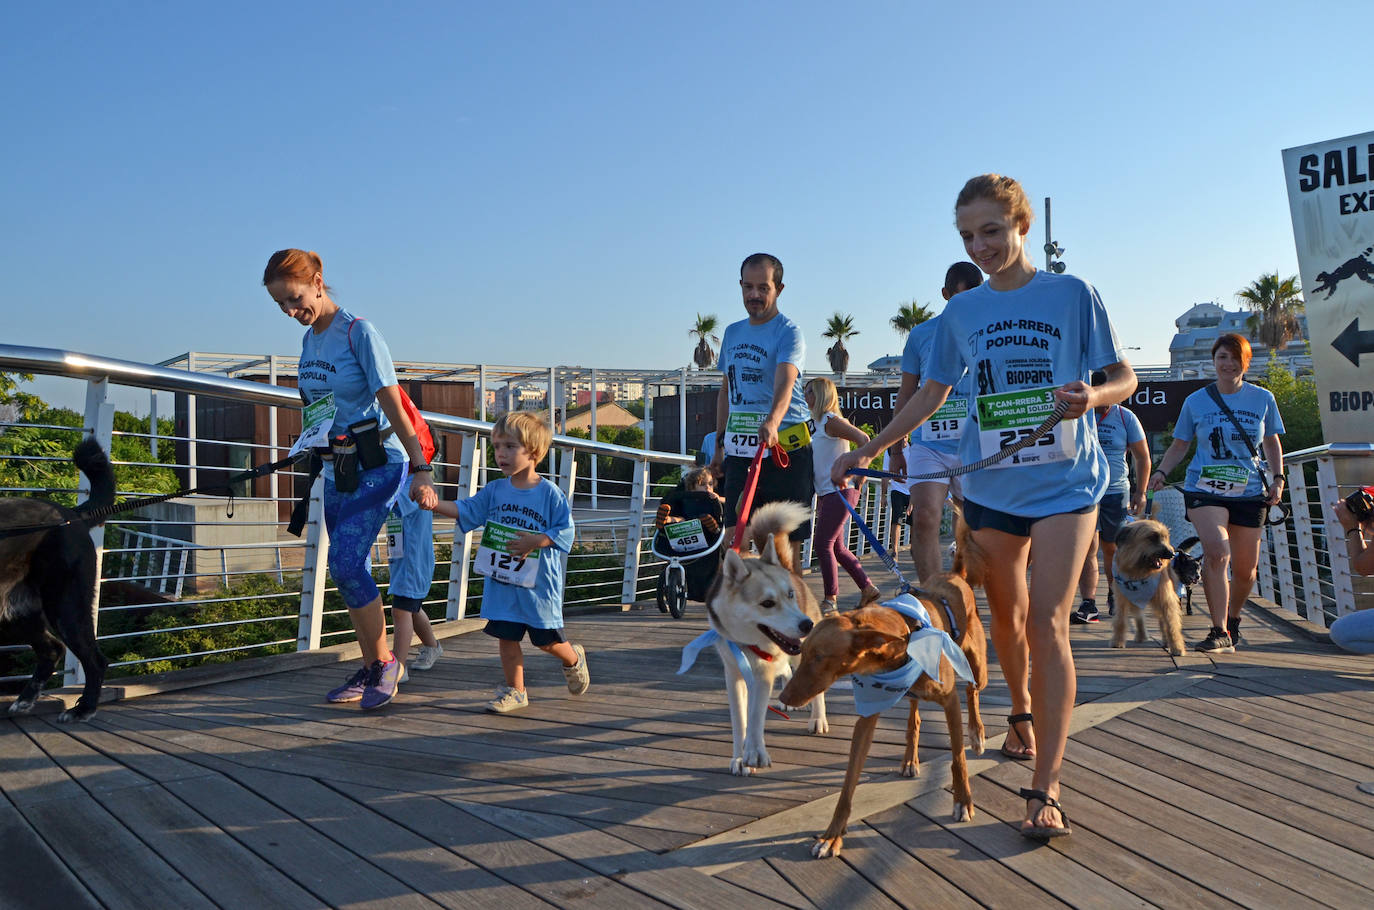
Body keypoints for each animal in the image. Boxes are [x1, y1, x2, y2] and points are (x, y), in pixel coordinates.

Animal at [2, 439, 112, 725]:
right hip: (18, 614)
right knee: (52, 649)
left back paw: (83, 709)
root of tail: (71, 514)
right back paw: (25, 700)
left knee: (95, 659)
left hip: (66, 608)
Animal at [708, 503, 824, 780]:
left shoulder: (762, 675)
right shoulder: (734, 674)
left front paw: (754, 753)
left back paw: (818, 719)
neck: (746, 642)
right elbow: (740, 719)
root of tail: (791, 570)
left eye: (790, 595)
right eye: (767, 603)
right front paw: (740, 758)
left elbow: (756, 714)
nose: (806, 625)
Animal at [780, 574, 983, 857]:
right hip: (915, 695)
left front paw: (963, 800)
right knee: (914, 718)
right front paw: (831, 836)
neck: (904, 642)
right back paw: (910, 760)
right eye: (803, 651)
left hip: (978, 664)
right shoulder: (868, 715)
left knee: (972, 690)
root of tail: (954, 575)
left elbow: (958, 758)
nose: (783, 698)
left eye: (819, 656)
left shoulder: (950, 701)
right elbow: (848, 784)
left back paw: (976, 734)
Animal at [1110, 519, 1187, 657]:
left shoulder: (1165, 599)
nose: (1172, 554)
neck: (1139, 572)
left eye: (1165, 537)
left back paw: (1166, 641)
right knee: (1139, 616)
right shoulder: (1122, 598)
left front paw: (1177, 647)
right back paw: (1141, 635)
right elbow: (1120, 620)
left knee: (1162, 620)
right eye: (1152, 537)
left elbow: (1171, 623)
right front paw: (1117, 641)